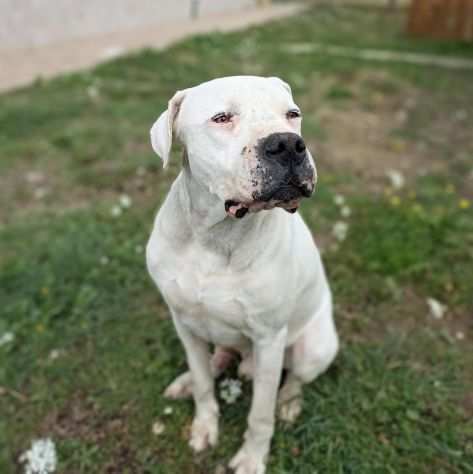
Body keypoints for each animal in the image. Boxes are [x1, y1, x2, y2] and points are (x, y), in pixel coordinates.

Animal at [146, 76, 338, 472]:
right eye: (222, 118)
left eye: (292, 114)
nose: (287, 143)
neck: (216, 237)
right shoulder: (184, 323)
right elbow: (204, 384)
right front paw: (204, 426)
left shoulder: (269, 340)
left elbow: (260, 415)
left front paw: (251, 458)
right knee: (217, 357)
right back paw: (192, 378)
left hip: (313, 347)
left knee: (296, 379)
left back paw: (289, 403)